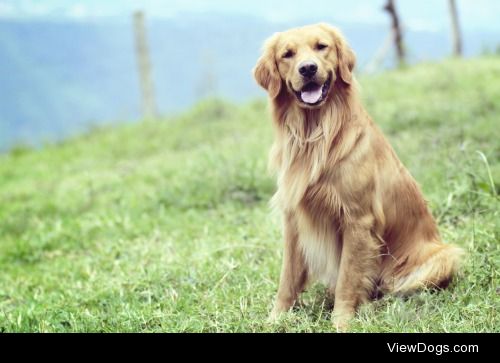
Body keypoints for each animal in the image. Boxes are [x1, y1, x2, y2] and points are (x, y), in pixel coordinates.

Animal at [254, 21, 464, 332]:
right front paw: (276, 317)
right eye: (287, 54)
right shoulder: (293, 219)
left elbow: (348, 278)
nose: (308, 69)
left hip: (443, 257)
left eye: (321, 47)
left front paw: (341, 321)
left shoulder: (357, 220)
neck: (317, 133)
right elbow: (288, 277)